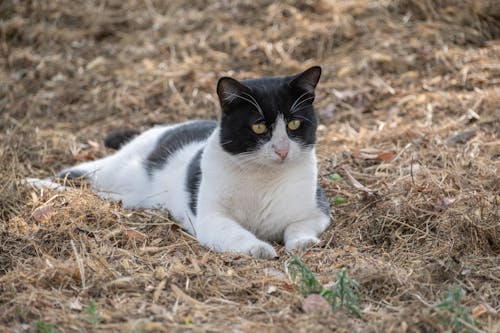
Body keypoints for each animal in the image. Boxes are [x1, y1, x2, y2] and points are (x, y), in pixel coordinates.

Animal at [31, 65, 330, 256]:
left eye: (293, 124)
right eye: (258, 127)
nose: (282, 150)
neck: (264, 178)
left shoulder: (318, 211)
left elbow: (299, 227)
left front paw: (303, 243)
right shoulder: (211, 219)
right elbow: (236, 234)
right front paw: (259, 248)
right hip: (117, 170)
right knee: (79, 173)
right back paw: (35, 183)